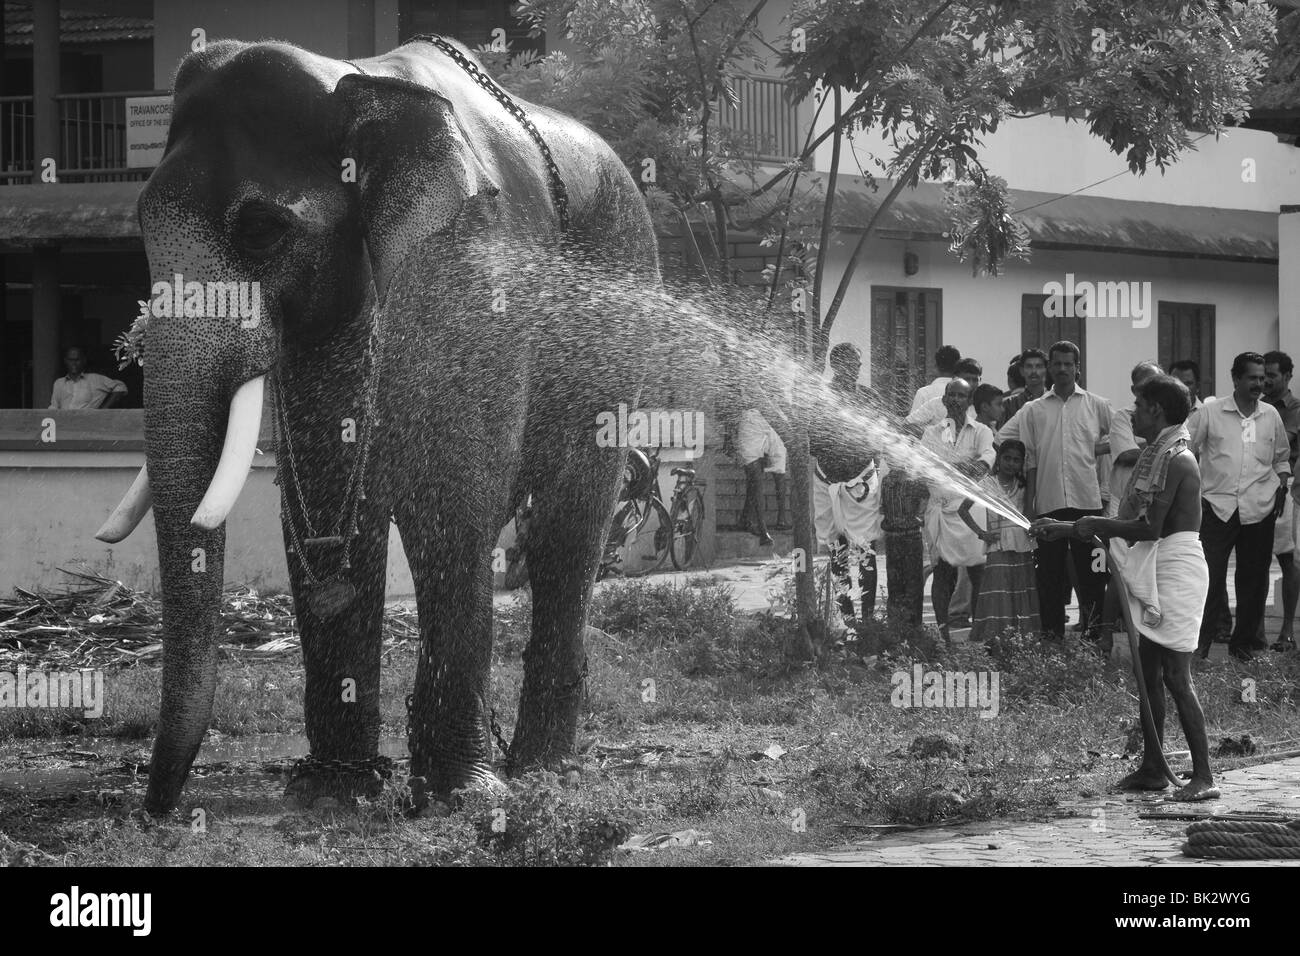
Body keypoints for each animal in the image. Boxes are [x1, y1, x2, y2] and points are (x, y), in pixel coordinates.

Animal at [94, 35, 660, 816]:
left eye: (263, 231)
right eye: (143, 224)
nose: (154, 812)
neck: (355, 80)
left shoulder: (471, 276)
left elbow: (450, 503)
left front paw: (460, 797)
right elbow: (329, 500)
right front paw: (332, 792)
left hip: (620, 320)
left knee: (571, 521)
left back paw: (542, 768)